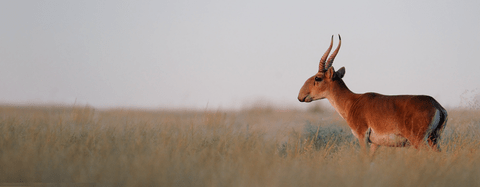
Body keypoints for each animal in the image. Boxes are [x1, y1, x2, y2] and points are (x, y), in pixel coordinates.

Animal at [298, 35, 448, 155]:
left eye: (318, 78)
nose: (300, 96)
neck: (353, 102)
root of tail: (436, 105)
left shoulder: (362, 136)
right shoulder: (375, 144)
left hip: (420, 141)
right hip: (434, 140)